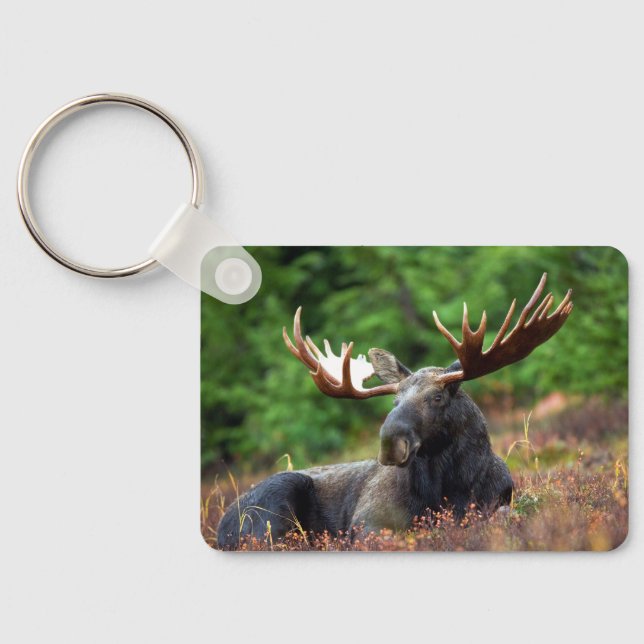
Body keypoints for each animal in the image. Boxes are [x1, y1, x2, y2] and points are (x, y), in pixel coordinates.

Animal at [216, 273, 573, 549]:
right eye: (394, 401)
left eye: (437, 397)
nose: (390, 443)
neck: (451, 489)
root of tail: (220, 527)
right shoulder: (367, 521)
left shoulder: (498, 502)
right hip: (274, 505)